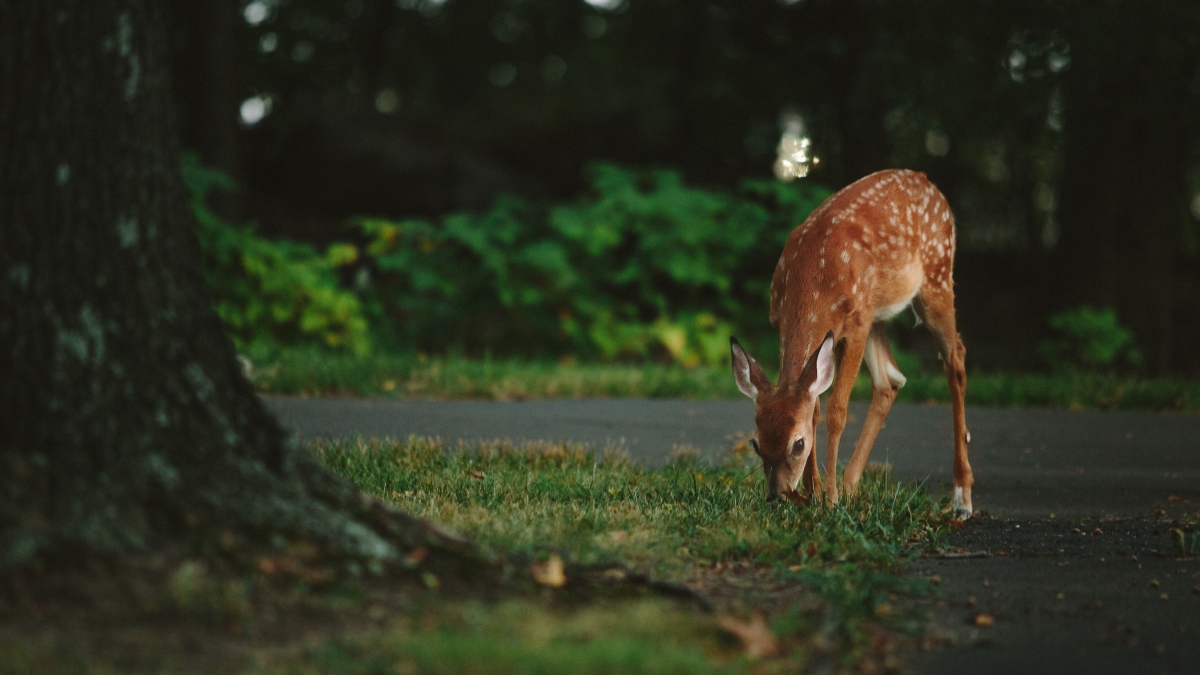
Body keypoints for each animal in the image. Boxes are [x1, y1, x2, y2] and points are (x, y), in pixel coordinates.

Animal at [729, 168, 974, 521]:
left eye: (798, 444)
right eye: (756, 443)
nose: (777, 496)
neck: (813, 279)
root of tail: (928, 182)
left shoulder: (856, 325)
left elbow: (836, 411)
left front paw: (828, 499)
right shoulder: (788, 324)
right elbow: (814, 407)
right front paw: (815, 493)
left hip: (936, 278)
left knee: (955, 359)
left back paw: (961, 498)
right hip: (878, 313)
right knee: (890, 379)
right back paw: (850, 486)